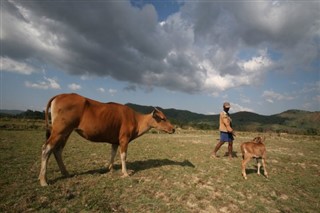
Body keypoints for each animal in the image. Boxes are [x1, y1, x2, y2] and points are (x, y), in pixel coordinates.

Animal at [39, 94, 178, 186]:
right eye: (163, 118)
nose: (173, 129)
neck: (136, 119)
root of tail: (60, 95)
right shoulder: (124, 139)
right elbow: (123, 156)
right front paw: (125, 173)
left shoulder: (115, 141)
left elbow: (112, 153)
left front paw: (109, 168)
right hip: (60, 131)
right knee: (46, 148)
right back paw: (43, 180)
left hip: (66, 132)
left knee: (57, 150)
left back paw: (65, 173)